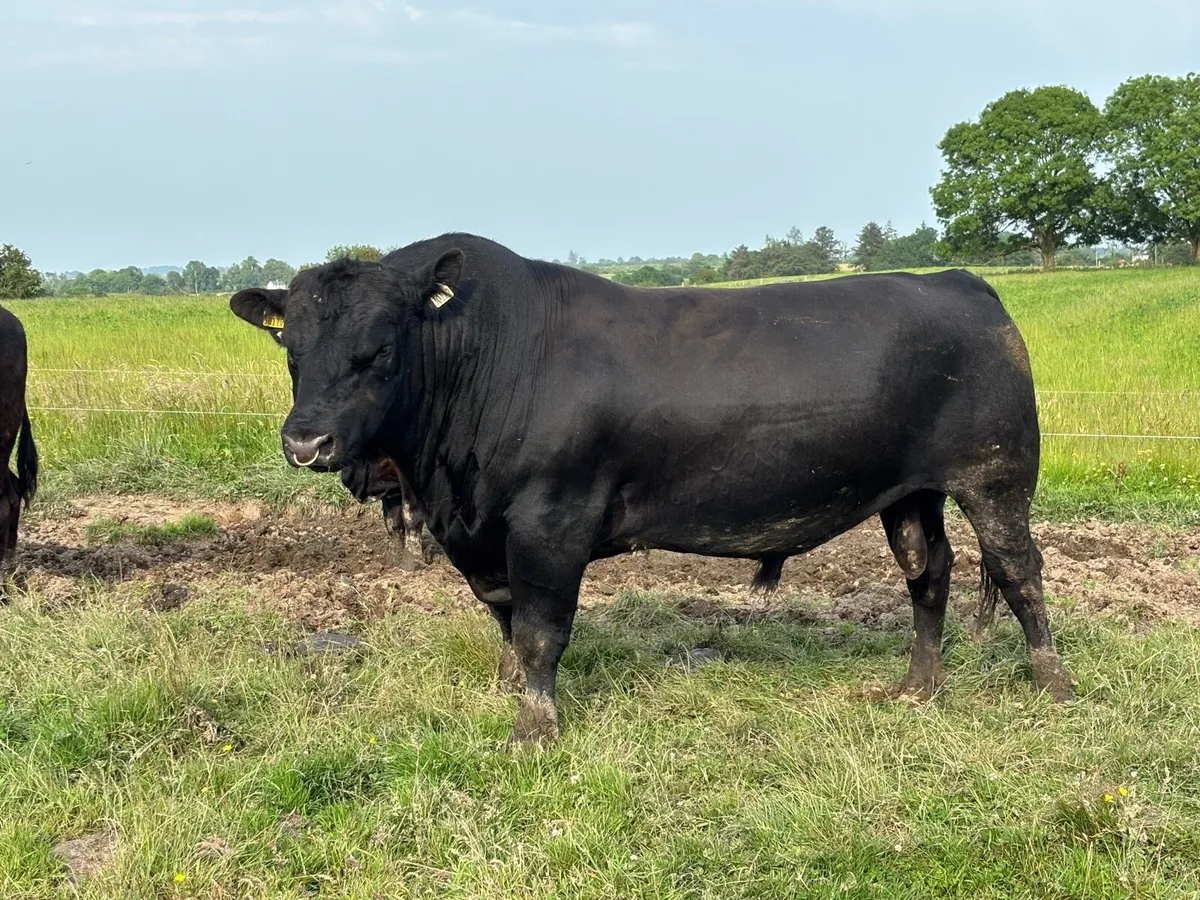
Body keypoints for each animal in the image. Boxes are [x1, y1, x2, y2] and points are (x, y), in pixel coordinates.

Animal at [230, 233, 1074, 745]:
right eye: (291, 349)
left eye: (378, 350)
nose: (306, 442)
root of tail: (960, 281)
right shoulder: (484, 536)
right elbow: (504, 621)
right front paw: (509, 693)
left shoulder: (549, 522)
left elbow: (539, 630)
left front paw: (534, 728)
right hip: (909, 491)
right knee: (929, 573)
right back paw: (917, 688)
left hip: (997, 475)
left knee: (1020, 573)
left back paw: (1053, 684)